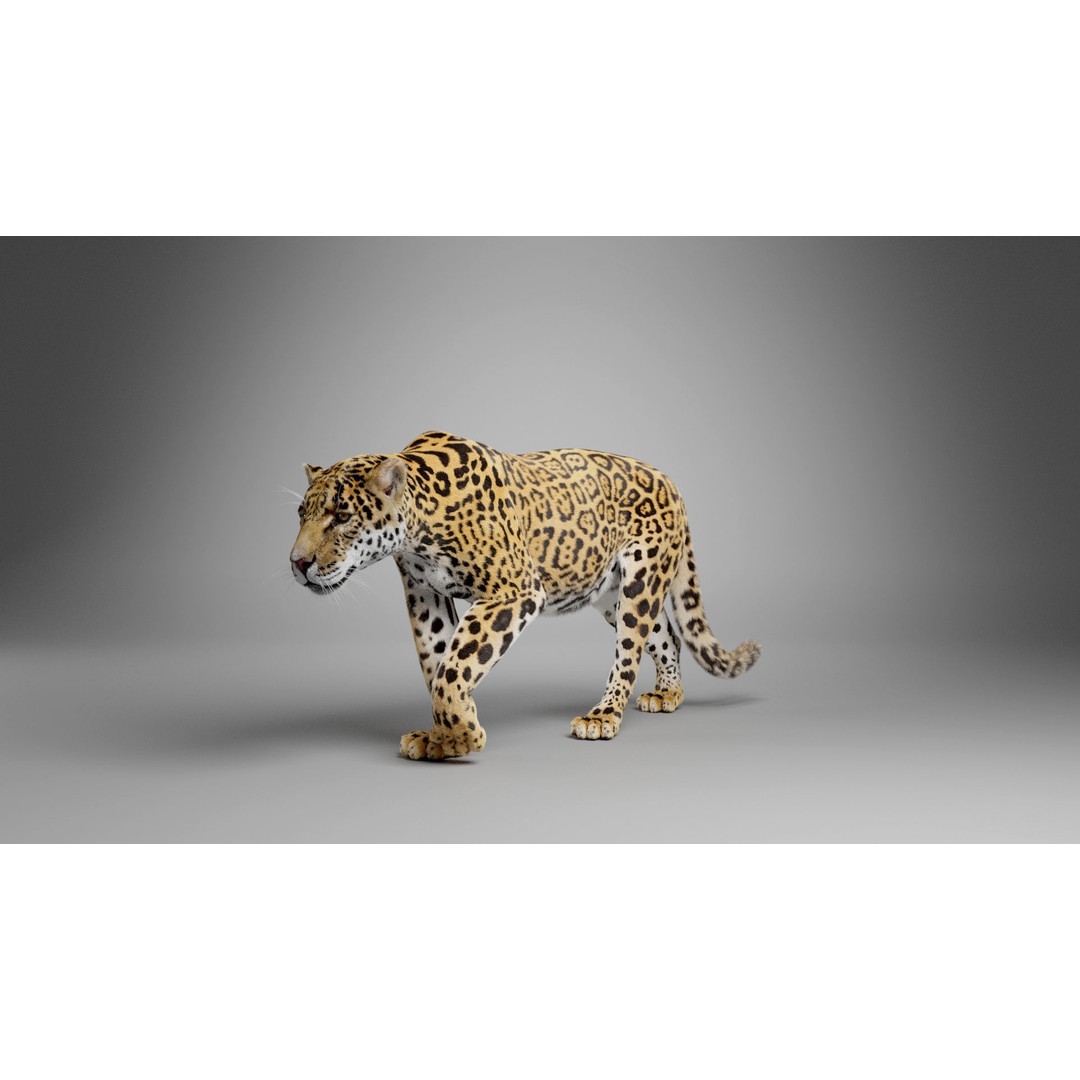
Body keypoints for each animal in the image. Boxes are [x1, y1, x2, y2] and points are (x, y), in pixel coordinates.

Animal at [289, 431, 760, 761]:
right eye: (300, 514)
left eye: (341, 516)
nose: (297, 563)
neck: (416, 528)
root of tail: (668, 479)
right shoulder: (425, 596)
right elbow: (437, 664)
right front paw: (442, 737)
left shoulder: (513, 589)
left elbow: (453, 668)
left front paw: (461, 736)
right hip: (609, 591)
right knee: (668, 636)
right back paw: (667, 694)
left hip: (641, 580)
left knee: (629, 651)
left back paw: (602, 717)